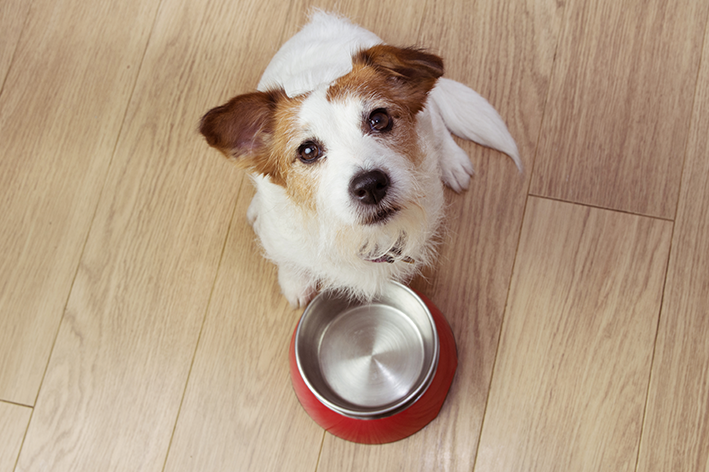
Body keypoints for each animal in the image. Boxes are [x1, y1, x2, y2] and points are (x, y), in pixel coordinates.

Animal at [199, 11, 520, 308]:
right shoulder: (280, 238)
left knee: (439, 124)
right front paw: (295, 282)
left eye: (379, 119)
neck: (357, 236)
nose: (370, 185)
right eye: (307, 151)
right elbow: (288, 260)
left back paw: (453, 162)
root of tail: (322, 19)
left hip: (428, 116)